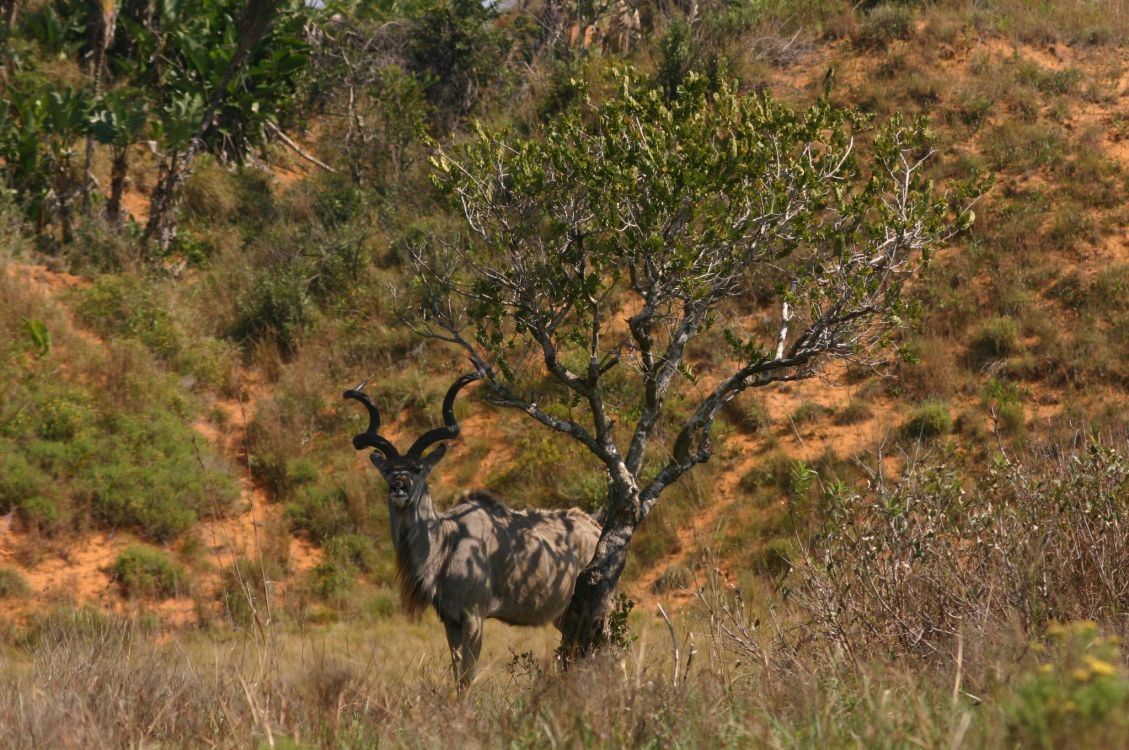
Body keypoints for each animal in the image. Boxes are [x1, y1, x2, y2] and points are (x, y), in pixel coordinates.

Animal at [343, 371, 602, 691]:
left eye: (417, 468)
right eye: (389, 470)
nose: (399, 488)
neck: (447, 541)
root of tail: (595, 526)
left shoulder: (475, 616)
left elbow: (468, 675)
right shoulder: (450, 620)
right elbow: (458, 674)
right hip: (565, 616)